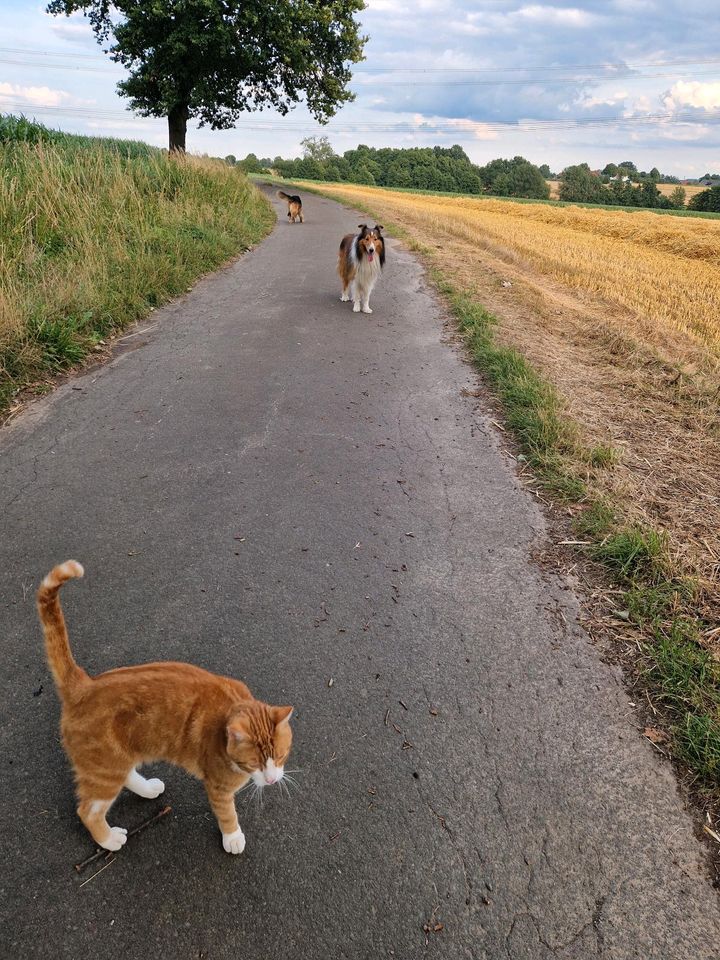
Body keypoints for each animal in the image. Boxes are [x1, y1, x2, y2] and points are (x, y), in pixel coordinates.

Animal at [35, 564, 296, 856]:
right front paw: (233, 837)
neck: (233, 706)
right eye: (254, 763)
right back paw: (108, 839)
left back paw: (147, 788)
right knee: (88, 809)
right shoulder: (217, 787)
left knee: (124, 774)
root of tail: (84, 685)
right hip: (104, 769)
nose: (272, 781)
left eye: (282, 755)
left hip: (115, 760)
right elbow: (227, 813)